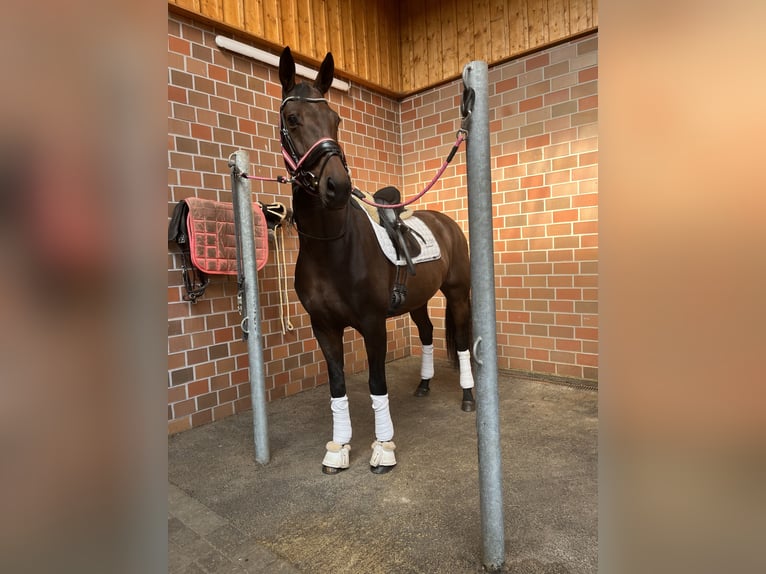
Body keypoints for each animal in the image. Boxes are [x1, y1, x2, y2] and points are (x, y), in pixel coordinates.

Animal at [280, 46, 476, 476]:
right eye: (292, 118)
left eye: (336, 120)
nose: (337, 187)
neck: (332, 247)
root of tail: (446, 222)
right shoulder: (324, 328)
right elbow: (338, 388)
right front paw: (338, 449)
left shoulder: (372, 325)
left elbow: (375, 384)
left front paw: (383, 448)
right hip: (418, 300)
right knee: (427, 333)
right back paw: (424, 385)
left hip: (458, 294)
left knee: (462, 341)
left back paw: (469, 397)